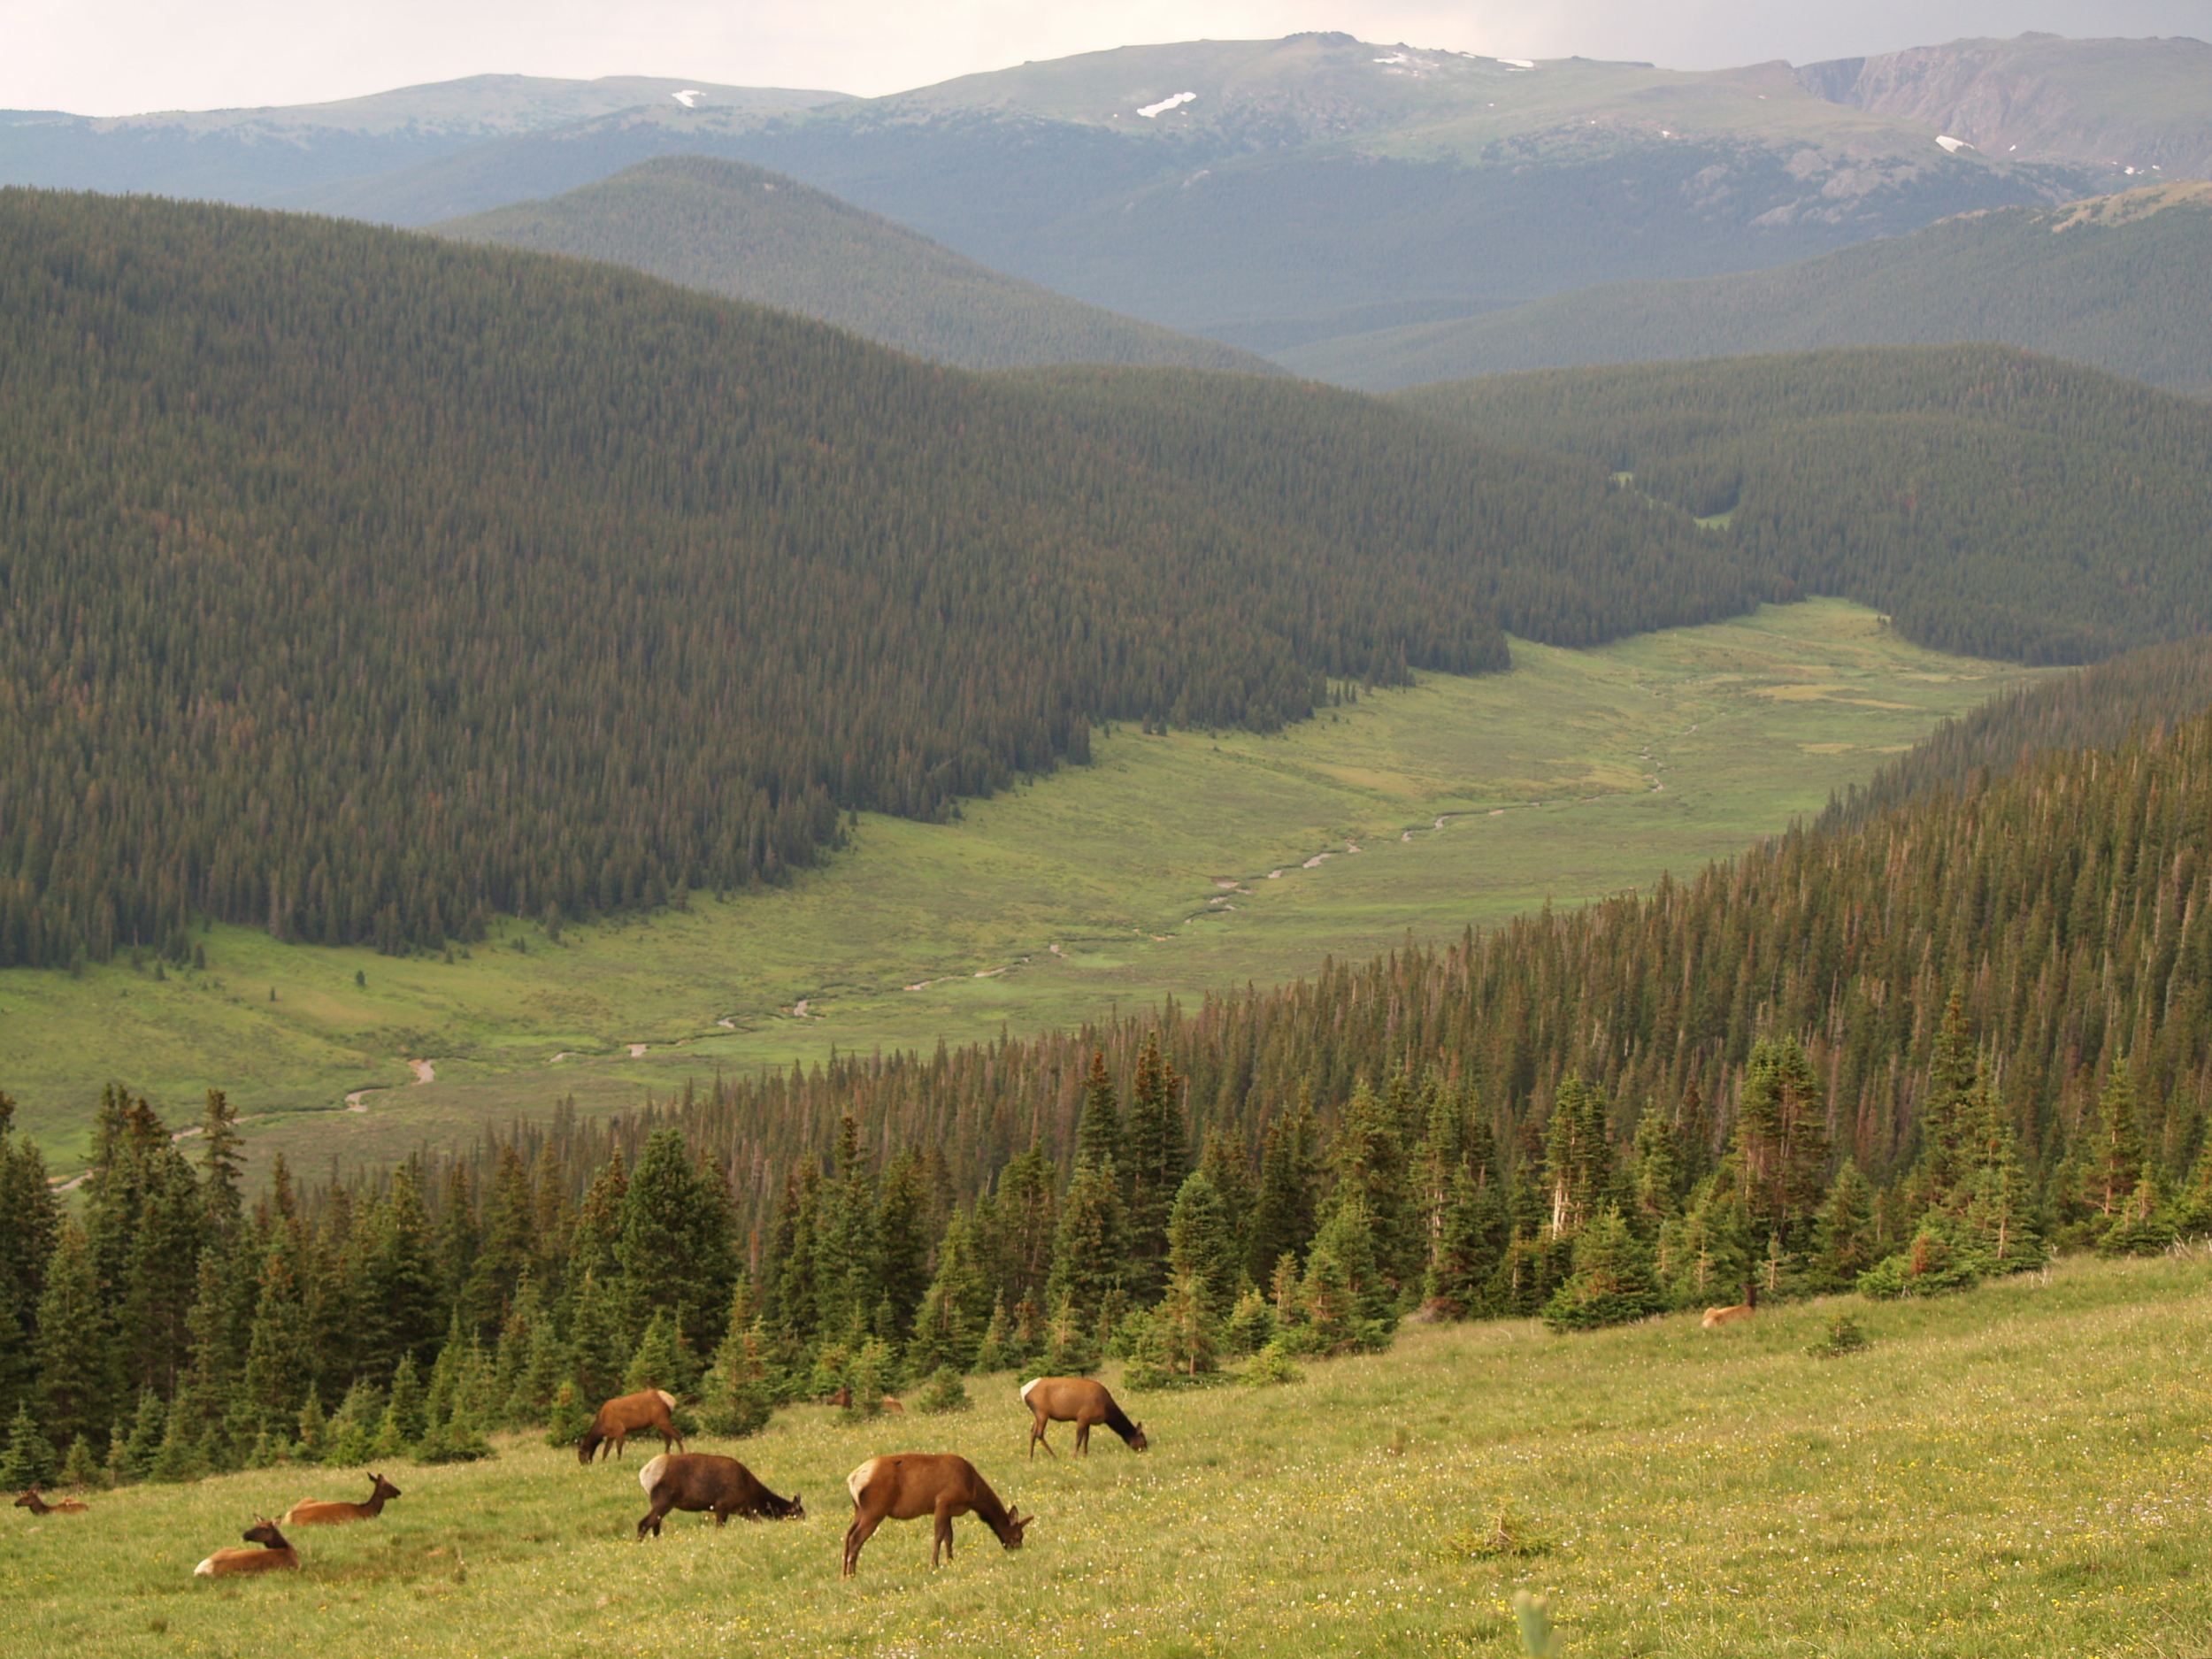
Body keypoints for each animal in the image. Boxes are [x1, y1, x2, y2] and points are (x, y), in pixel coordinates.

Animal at [633, 1451, 805, 1548]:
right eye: (800, 1515)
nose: (803, 1526)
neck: (751, 1493)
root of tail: (644, 1474)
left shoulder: (744, 1510)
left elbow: (758, 1522)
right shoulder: (723, 1506)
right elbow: (719, 1529)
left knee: (655, 1525)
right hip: (664, 1501)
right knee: (644, 1523)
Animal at [841, 1451, 1031, 1584]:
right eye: (1019, 1535)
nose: (1019, 1551)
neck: (973, 1491)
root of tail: (853, 1479)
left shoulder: (949, 1511)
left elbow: (949, 1537)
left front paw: (950, 1561)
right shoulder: (943, 1502)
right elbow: (939, 1535)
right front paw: (933, 1565)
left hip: (859, 1510)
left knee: (847, 1536)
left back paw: (843, 1574)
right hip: (875, 1510)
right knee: (856, 1538)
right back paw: (852, 1575)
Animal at [1018, 1380, 1150, 1460]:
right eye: (1143, 1441)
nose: (1145, 1451)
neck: (1107, 1411)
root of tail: (1024, 1391)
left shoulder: (1088, 1421)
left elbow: (1086, 1439)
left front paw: (1085, 1455)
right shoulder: (1082, 1417)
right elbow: (1078, 1440)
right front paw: (1074, 1457)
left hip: (1037, 1415)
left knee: (1032, 1431)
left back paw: (1030, 1458)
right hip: (1042, 1412)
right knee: (1039, 1433)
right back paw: (1054, 1456)